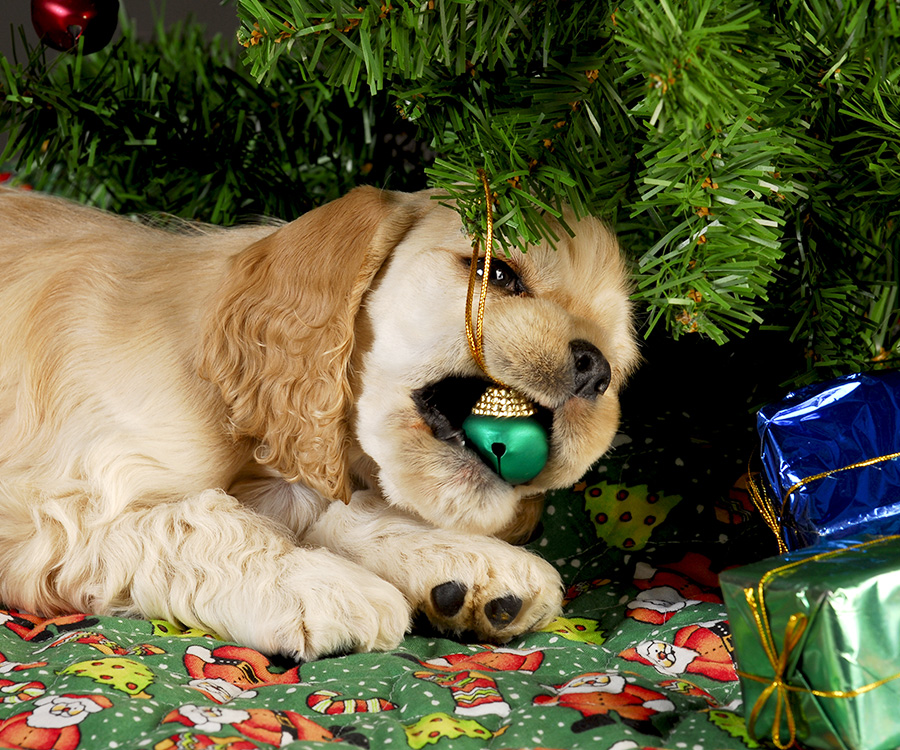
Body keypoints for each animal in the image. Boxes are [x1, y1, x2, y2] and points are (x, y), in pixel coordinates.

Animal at [0, 185, 636, 660]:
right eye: (499, 274)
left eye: (621, 361)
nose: (595, 369)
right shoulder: (51, 516)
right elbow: (196, 521)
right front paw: (319, 585)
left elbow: (326, 507)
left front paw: (471, 563)